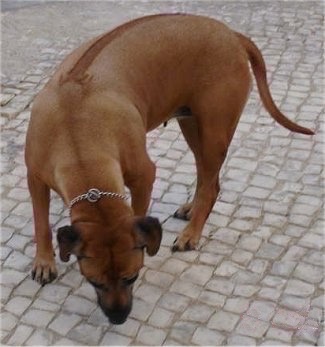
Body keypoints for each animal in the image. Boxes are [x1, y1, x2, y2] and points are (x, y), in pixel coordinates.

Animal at [26, 12, 314, 324]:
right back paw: (192, 209)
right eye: (94, 282)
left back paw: (192, 234)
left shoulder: (143, 175)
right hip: (191, 123)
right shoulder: (35, 176)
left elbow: (137, 209)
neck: (76, 134)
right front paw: (44, 261)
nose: (119, 317)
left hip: (215, 128)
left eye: (132, 277)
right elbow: (41, 222)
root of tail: (231, 34)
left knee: (210, 184)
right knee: (207, 178)